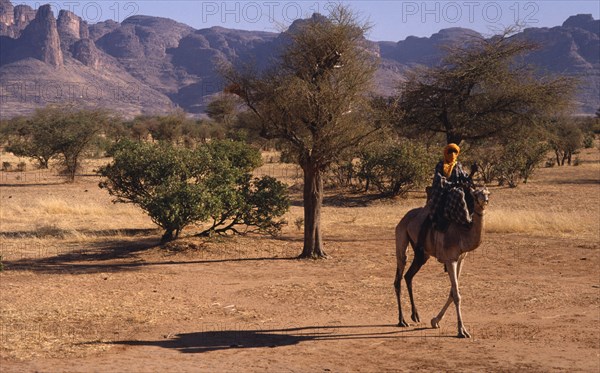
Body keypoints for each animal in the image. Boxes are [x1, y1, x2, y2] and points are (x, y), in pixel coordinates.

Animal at [394, 186, 492, 338]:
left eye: (488, 193)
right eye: (476, 195)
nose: (485, 200)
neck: (462, 233)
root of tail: (403, 219)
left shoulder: (461, 259)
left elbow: (452, 292)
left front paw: (435, 321)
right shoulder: (450, 259)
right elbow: (456, 295)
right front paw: (462, 331)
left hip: (422, 254)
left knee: (408, 276)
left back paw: (415, 316)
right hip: (401, 237)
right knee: (398, 277)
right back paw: (402, 321)